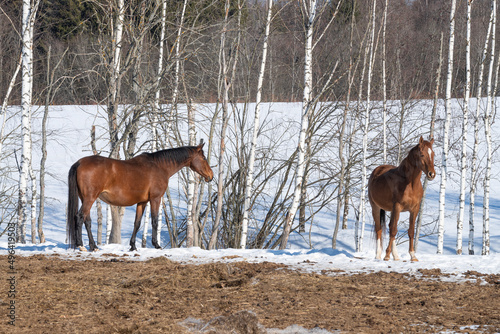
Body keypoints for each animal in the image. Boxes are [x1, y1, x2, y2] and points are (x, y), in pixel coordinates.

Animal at [67, 140, 213, 252]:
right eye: (204, 158)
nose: (210, 176)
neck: (159, 166)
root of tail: (79, 163)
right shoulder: (155, 199)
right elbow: (155, 221)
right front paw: (156, 245)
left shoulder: (142, 202)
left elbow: (137, 223)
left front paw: (132, 246)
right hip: (90, 198)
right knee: (79, 217)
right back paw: (81, 246)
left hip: (85, 198)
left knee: (87, 220)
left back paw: (93, 246)